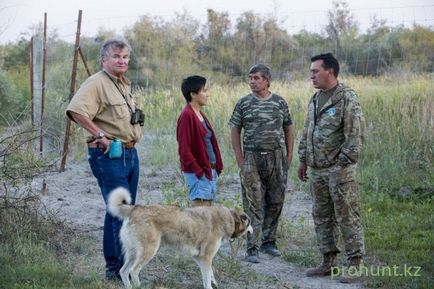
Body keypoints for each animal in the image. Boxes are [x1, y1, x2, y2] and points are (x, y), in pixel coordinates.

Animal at [106, 187, 253, 288]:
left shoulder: (200, 258)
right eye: (250, 222)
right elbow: (207, 279)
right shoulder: (206, 257)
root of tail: (134, 208)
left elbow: (209, 275)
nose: (253, 231)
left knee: (123, 271)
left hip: (133, 253)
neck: (229, 218)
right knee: (133, 271)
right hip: (148, 251)